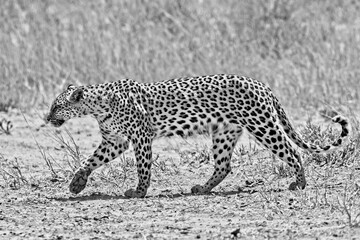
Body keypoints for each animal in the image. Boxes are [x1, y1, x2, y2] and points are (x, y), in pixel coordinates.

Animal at [46, 74, 350, 197]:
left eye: (56, 106)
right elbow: (90, 160)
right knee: (224, 165)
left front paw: (139, 192)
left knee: (292, 151)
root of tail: (261, 84)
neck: (97, 105)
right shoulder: (115, 141)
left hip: (262, 125)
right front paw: (76, 184)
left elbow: (143, 167)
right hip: (224, 132)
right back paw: (203, 188)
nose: (47, 118)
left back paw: (299, 183)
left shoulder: (141, 136)